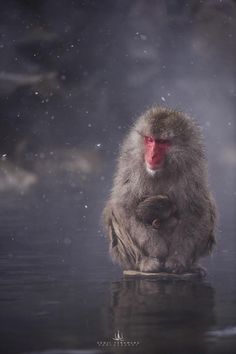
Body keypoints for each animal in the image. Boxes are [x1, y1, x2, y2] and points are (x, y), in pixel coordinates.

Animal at [102, 106, 217, 272]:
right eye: (150, 140)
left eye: (162, 142)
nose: (152, 156)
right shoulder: (130, 163)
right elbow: (124, 206)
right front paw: (157, 248)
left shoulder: (192, 167)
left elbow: (196, 210)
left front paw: (176, 259)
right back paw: (144, 262)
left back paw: (192, 265)